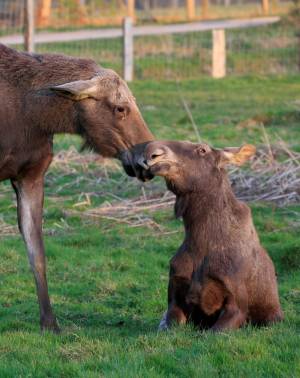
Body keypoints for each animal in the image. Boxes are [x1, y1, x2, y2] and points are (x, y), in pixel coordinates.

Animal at [0, 44, 154, 332]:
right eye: (120, 108)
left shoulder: (30, 177)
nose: (149, 159)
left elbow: (37, 253)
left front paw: (50, 323)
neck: (33, 117)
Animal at [138, 141, 284, 330]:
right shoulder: (174, 299)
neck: (200, 242)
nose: (151, 152)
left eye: (202, 149)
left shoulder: (236, 305)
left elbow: (217, 330)